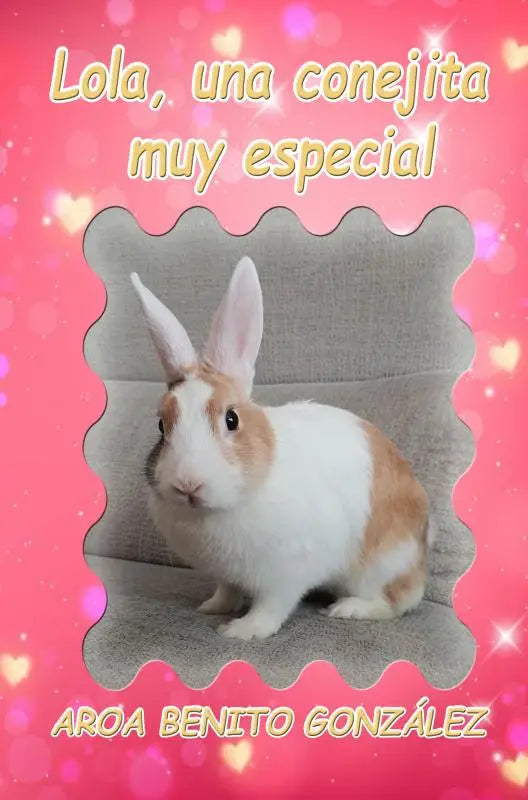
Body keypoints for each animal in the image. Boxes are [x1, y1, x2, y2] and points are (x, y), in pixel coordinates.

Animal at [131, 256, 429, 641]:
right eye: (161, 426)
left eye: (231, 419)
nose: (187, 484)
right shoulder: (228, 573)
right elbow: (227, 589)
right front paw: (213, 607)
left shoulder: (287, 572)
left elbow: (273, 605)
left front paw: (243, 630)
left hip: (382, 564)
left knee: (395, 601)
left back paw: (348, 609)